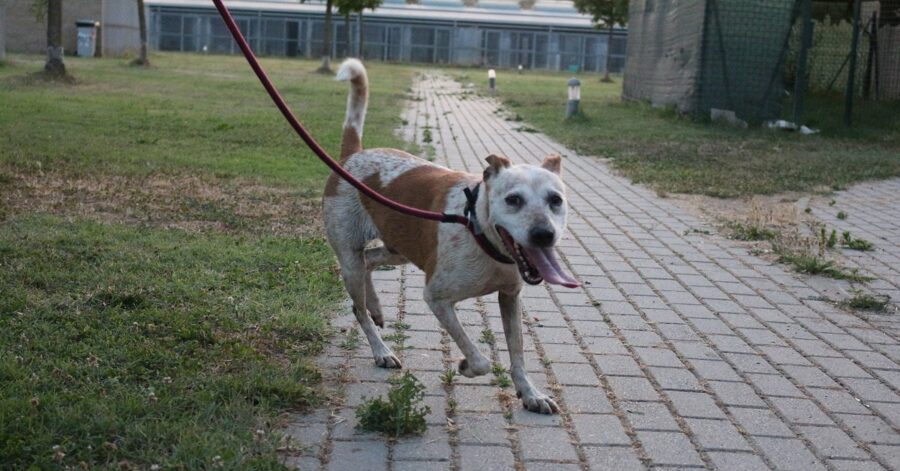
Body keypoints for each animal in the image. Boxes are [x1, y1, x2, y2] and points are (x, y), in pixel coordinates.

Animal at [326, 58, 580, 412]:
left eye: (556, 200)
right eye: (513, 200)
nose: (544, 235)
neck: (483, 236)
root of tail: (353, 155)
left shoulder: (510, 297)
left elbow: (517, 355)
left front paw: (530, 394)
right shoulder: (437, 297)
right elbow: (481, 359)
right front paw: (465, 366)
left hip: (400, 248)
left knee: (370, 259)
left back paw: (376, 306)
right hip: (350, 256)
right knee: (358, 301)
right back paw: (380, 349)